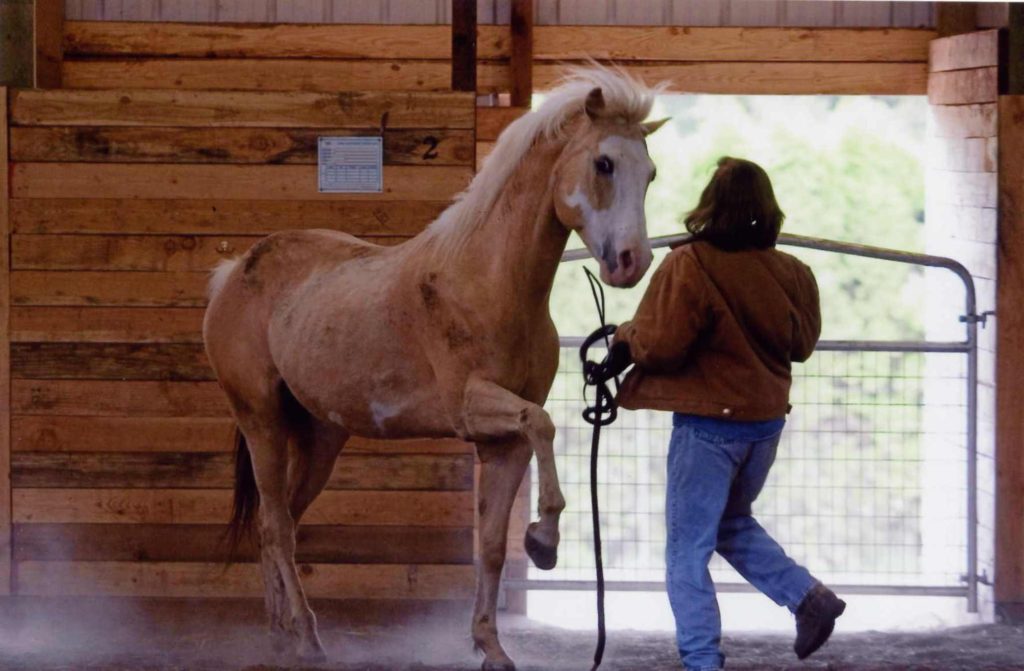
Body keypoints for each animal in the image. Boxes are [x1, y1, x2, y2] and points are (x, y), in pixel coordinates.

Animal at [203, 65, 667, 667]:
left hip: (320, 437)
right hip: (261, 421)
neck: (489, 283)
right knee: (278, 526)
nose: (633, 262)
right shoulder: (471, 409)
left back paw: (280, 632)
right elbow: (544, 425)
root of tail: (232, 274)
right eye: (604, 163)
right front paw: (544, 542)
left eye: (651, 173)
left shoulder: (504, 443)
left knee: (274, 523)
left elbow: (490, 544)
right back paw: (306, 636)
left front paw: (491, 645)